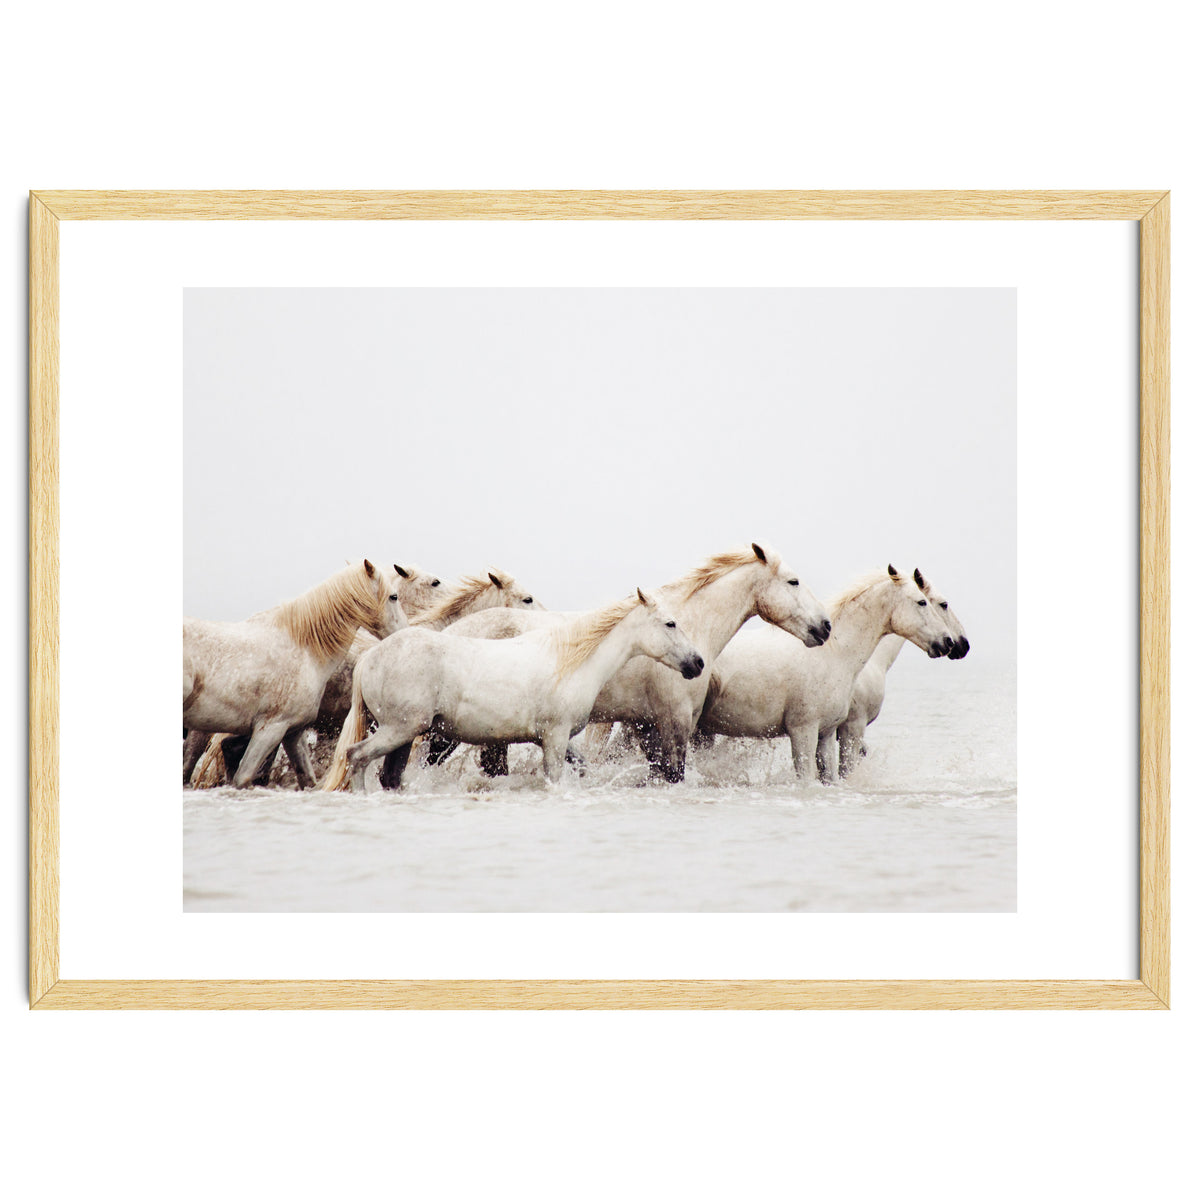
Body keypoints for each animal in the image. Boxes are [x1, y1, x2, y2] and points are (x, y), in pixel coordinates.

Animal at [185, 559, 442, 787]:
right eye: (393, 596)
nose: (405, 632)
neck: (305, 649)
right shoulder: (270, 728)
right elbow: (244, 777)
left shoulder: (292, 731)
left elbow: (306, 778)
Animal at [320, 588, 705, 792]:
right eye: (670, 623)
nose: (697, 663)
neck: (570, 661)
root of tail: (370, 656)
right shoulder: (554, 737)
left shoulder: (556, 740)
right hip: (399, 729)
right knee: (357, 757)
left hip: (404, 734)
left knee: (389, 775)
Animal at [419, 543, 831, 784]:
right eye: (793, 582)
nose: (824, 627)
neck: (689, 625)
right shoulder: (674, 722)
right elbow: (673, 773)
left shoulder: (646, 725)